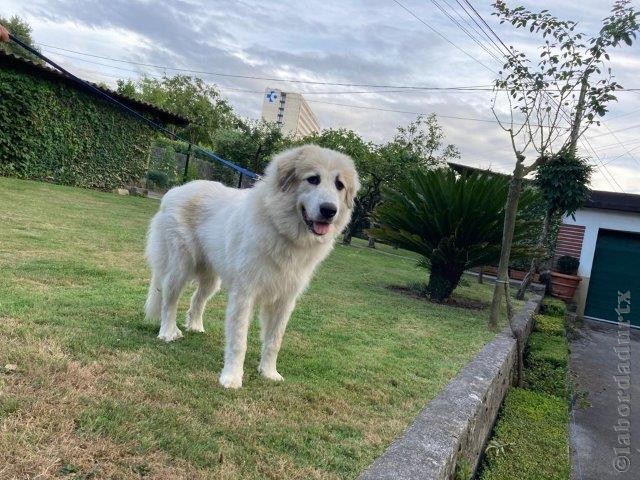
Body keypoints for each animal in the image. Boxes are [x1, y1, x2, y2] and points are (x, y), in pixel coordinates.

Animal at [142, 144, 358, 388]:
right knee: (169, 302)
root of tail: (175, 191)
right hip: (179, 268)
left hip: (212, 279)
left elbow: (274, 341)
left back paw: (195, 326)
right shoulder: (245, 294)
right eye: (313, 179)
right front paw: (232, 378)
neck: (282, 231)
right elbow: (239, 341)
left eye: (339, 185)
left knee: (196, 300)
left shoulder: (284, 300)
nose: (329, 210)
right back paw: (168, 332)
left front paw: (269, 372)